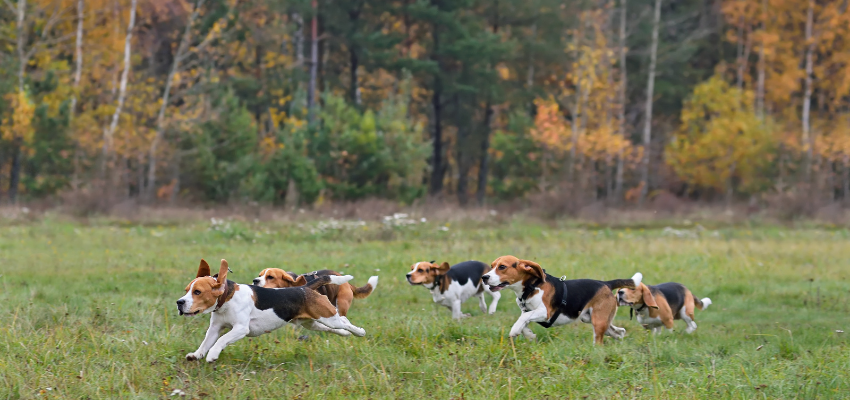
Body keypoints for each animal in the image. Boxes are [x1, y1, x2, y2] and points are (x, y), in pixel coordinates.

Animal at [176, 260, 364, 362]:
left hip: (327, 316)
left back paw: (360, 332)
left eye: (197, 292)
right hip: (312, 323)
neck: (227, 299)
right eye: (186, 290)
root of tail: (304, 287)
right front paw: (197, 355)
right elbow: (206, 342)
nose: (179, 302)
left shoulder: (240, 329)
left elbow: (221, 340)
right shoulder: (215, 328)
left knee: (344, 321)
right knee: (336, 328)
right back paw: (346, 334)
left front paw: (212, 355)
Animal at [480, 256, 640, 344]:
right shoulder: (527, 310)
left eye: (502, 267)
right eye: (492, 266)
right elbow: (523, 321)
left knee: (600, 341)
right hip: (594, 319)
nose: (484, 277)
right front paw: (529, 335)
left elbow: (524, 318)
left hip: (598, 321)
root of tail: (606, 283)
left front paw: (514, 330)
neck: (532, 286)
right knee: (619, 332)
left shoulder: (545, 312)